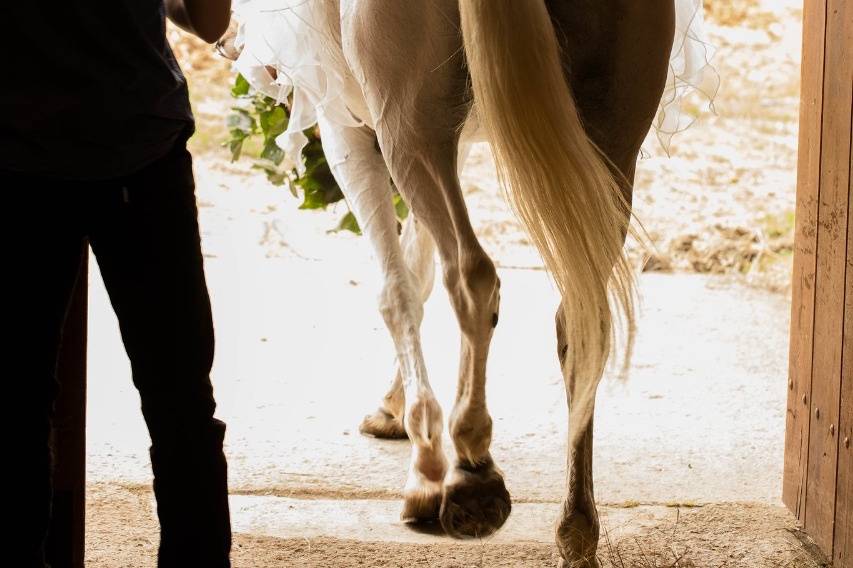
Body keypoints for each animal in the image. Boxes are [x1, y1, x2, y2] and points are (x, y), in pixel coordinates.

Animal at [220, 0, 712, 564]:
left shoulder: (347, 127)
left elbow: (398, 290)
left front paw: (423, 459)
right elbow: (418, 272)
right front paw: (393, 408)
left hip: (410, 133)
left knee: (472, 276)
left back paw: (469, 475)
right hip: (611, 143)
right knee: (582, 320)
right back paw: (576, 531)